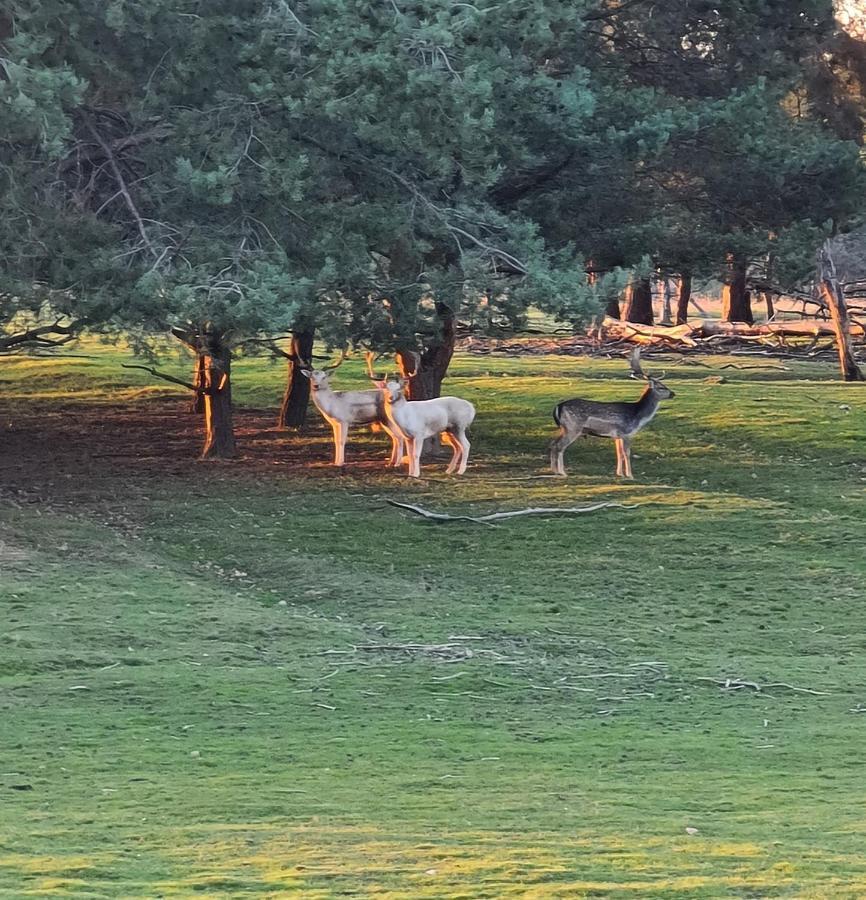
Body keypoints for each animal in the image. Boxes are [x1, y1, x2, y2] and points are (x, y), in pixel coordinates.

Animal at [548, 348, 676, 482]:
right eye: (661, 387)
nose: (673, 393)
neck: (637, 416)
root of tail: (558, 407)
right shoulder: (626, 432)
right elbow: (626, 453)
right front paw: (630, 475)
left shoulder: (616, 435)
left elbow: (619, 453)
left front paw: (619, 473)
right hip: (573, 427)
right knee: (560, 446)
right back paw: (562, 472)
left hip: (564, 428)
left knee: (552, 443)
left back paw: (554, 470)